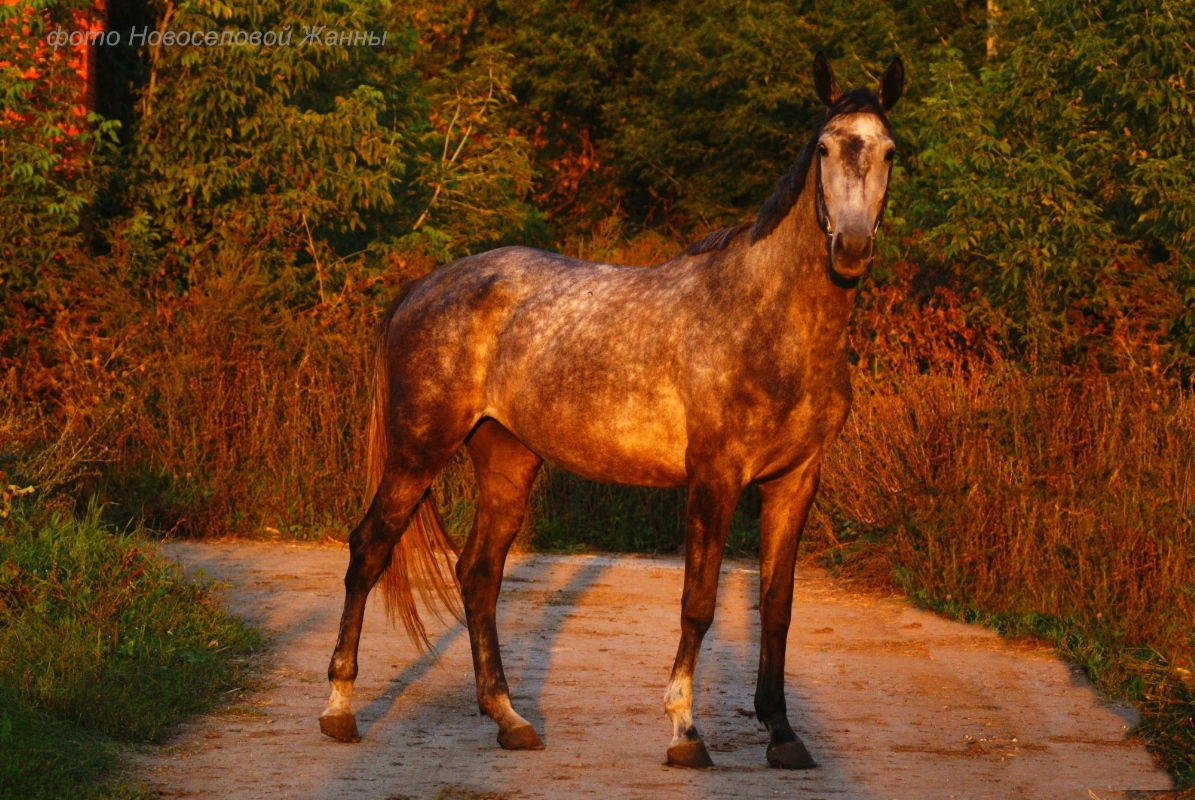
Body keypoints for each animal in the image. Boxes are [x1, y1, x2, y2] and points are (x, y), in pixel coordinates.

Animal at [322, 51, 898, 765]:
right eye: (824, 147)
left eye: (889, 151)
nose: (851, 248)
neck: (769, 323)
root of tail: (423, 287)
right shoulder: (714, 477)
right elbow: (698, 603)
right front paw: (684, 730)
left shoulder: (795, 480)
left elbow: (777, 606)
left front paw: (783, 734)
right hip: (417, 450)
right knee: (368, 551)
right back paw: (340, 708)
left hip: (506, 458)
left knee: (478, 574)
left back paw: (509, 719)